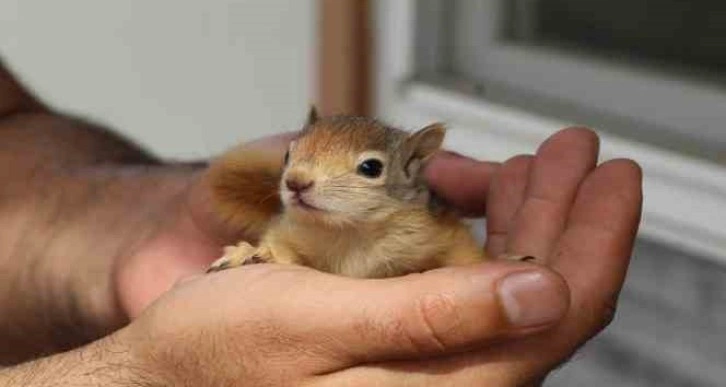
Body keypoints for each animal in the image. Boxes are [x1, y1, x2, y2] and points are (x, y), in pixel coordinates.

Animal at [206, 107, 490, 278]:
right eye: (287, 154)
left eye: (371, 167)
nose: (296, 182)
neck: (347, 231)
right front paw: (252, 254)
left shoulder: (443, 235)